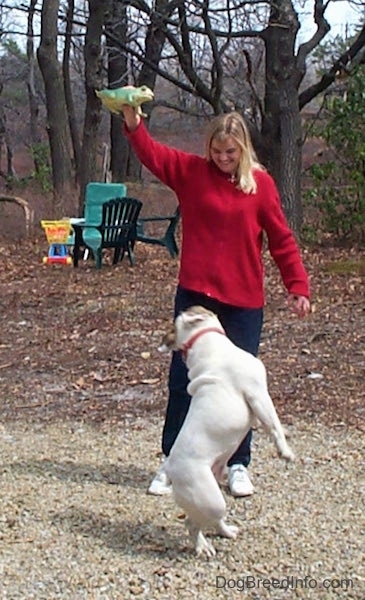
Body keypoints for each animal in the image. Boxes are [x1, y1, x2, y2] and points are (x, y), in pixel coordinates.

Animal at [158, 304, 294, 556]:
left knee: (211, 521)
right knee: (193, 524)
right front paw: (286, 452)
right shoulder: (259, 395)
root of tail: (171, 469)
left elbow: (268, 423)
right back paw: (203, 547)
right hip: (210, 501)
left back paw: (227, 532)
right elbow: (273, 425)